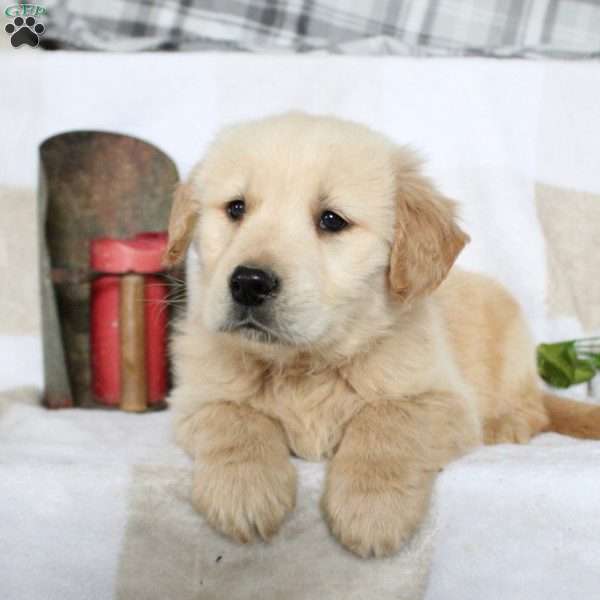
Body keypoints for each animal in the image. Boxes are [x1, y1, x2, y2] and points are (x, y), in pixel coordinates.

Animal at [163, 111, 600, 556]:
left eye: (331, 220)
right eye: (235, 208)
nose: (249, 283)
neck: (305, 367)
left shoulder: (441, 399)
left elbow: (388, 419)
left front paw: (371, 509)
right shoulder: (193, 398)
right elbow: (234, 417)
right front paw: (243, 490)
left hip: (512, 341)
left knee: (535, 407)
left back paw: (504, 423)